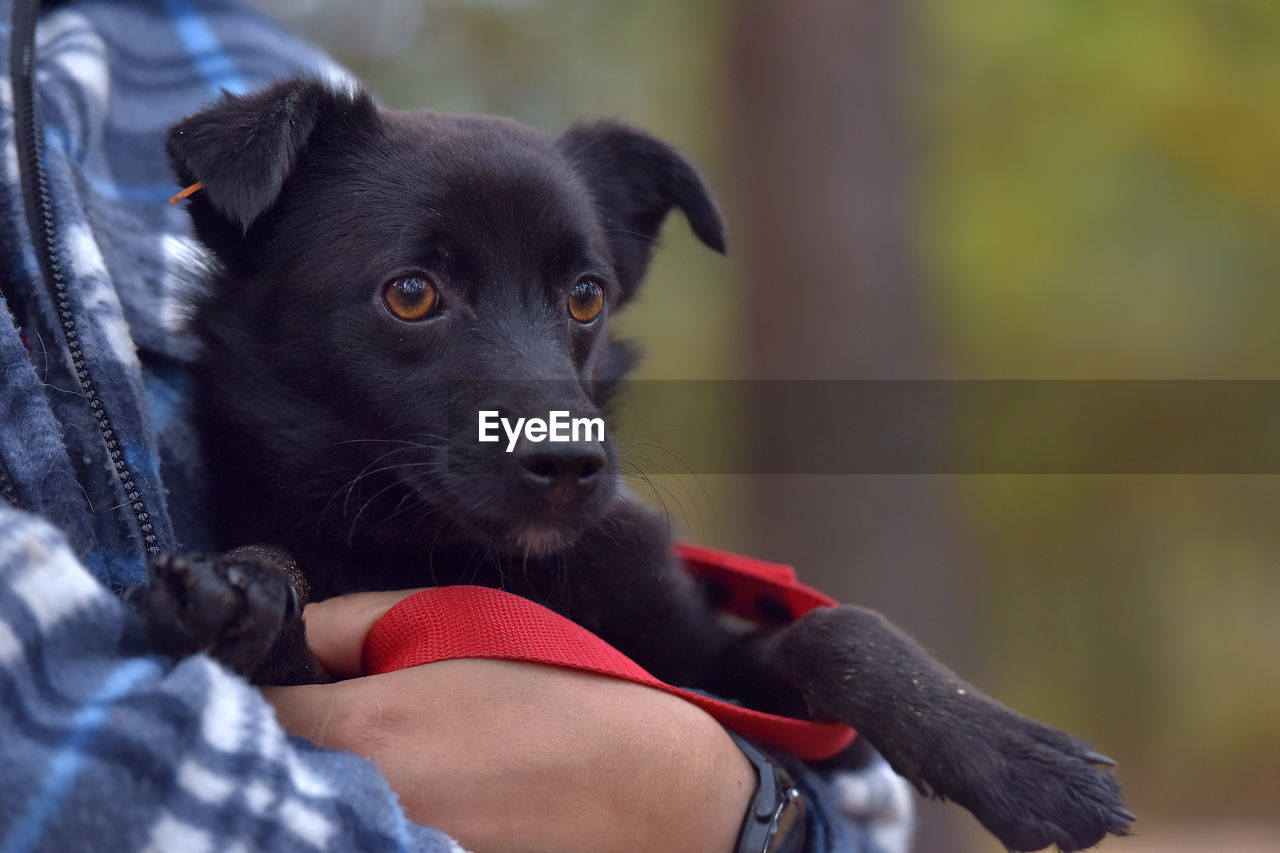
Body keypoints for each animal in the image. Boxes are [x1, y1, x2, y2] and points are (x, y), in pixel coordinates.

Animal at [129, 76, 1131, 845]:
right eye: (411, 293)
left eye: (586, 294)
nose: (571, 463)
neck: (477, 566)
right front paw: (246, 590)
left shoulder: (765, 701)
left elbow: (836, 629)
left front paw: (1021, 759)